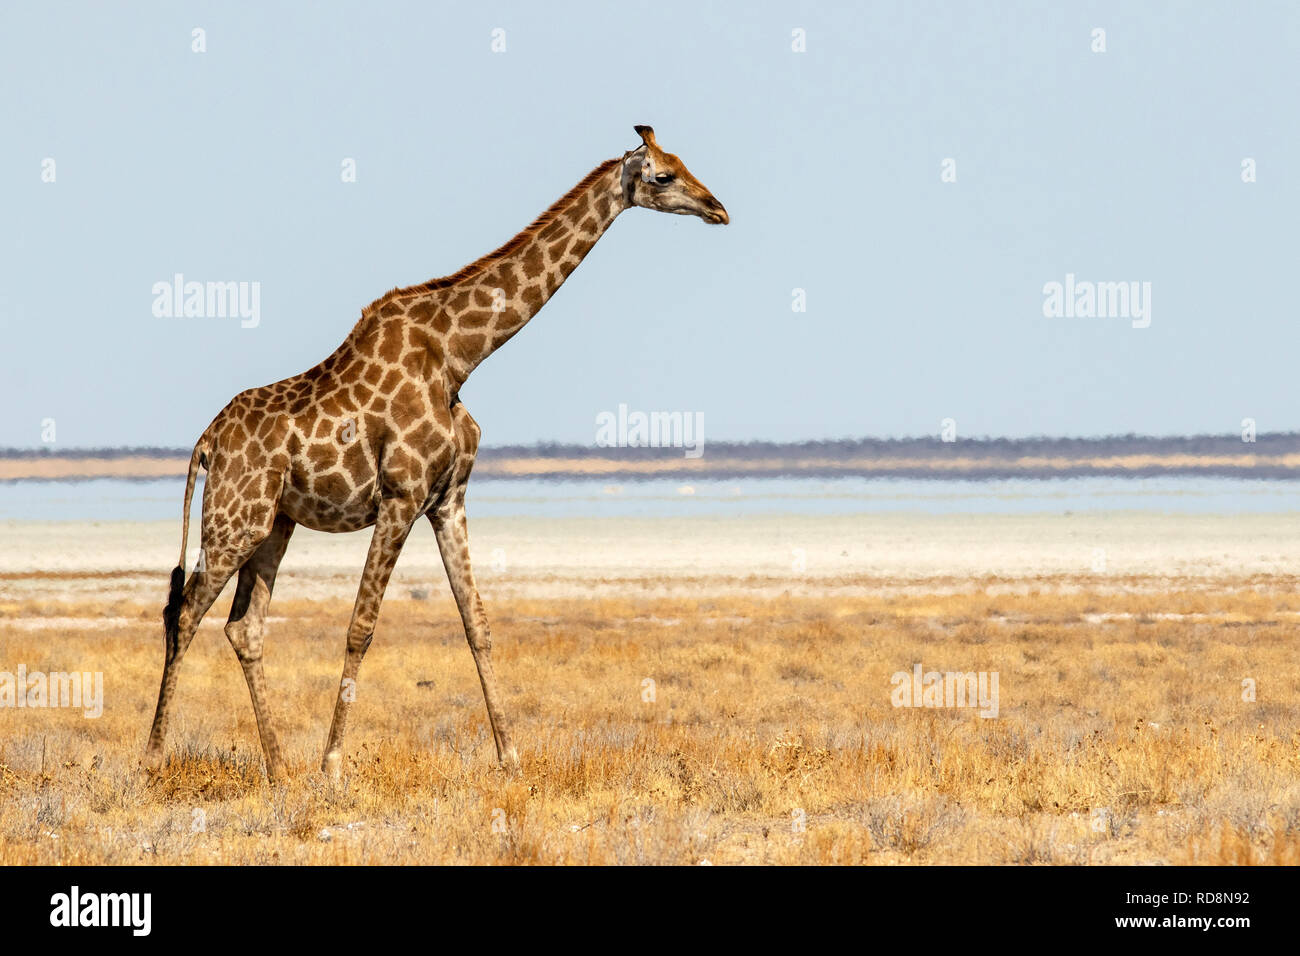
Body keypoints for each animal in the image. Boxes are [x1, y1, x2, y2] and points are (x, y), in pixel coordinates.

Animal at [144, 125, 733, 785]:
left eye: (684, 162)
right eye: (663, 175)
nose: (718, 208)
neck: (459, 354)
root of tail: (206, 443)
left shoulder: (448, 498)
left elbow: (477, 623)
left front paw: (511, 758)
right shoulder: (401, 497)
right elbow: (361, 628)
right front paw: (333, 766)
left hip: (274, 523)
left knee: (243, 627)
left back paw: (277, 768)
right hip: (234, 520)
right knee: (183, 612)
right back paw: (154, 758)